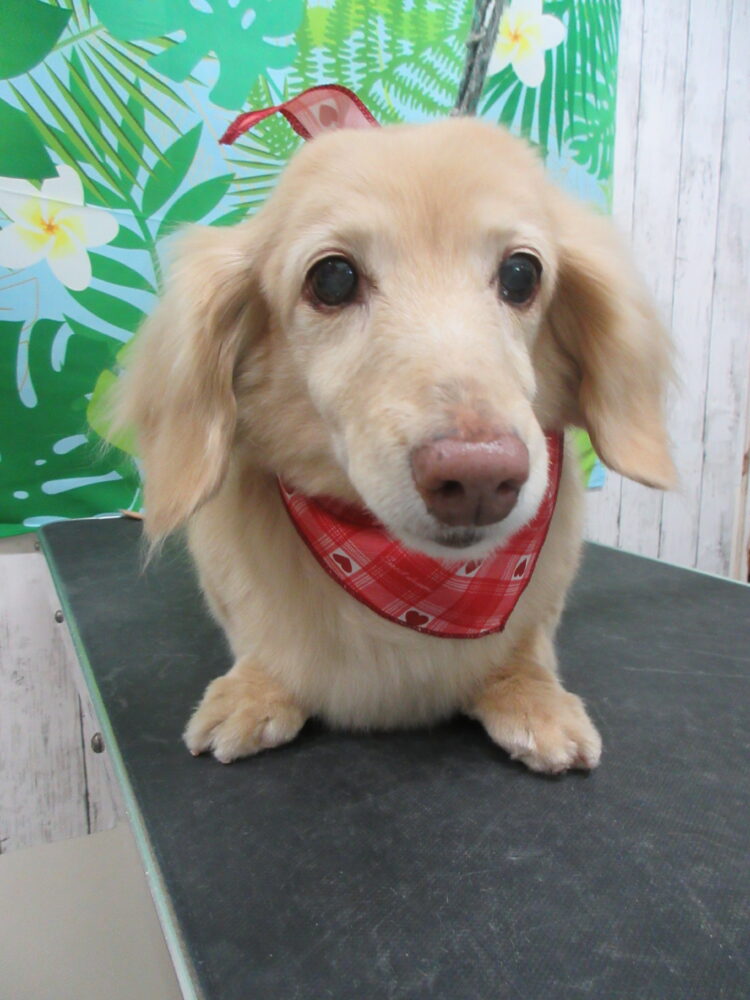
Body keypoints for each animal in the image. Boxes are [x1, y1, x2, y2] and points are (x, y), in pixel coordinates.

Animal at [117, 117, 675, 774]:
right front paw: (257, 688)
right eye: (332, 277)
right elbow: (260, 647)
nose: (479, 477)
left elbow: (527, 649)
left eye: (522, 274)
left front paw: (531, 695)